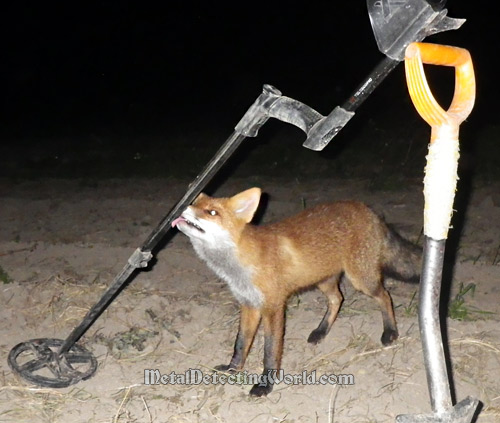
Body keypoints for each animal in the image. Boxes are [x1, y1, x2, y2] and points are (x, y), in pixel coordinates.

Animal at [170, 189, 420, 398]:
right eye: (196, 203)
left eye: (212, 212)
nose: (183, 206)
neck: (238, 268)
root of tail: (367, 209)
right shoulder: (249, 305)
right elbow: (240, 344)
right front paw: (233, 369)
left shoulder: (273, 308)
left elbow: (270, 352)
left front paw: (265, 386)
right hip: (324, 281)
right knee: (337, 299)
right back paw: (321, 331)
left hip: (361, 280)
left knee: (385, 296)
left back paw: (390, 332)